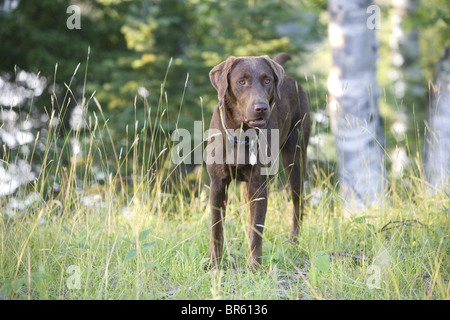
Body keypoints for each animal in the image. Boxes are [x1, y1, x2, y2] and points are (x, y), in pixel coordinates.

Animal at [207, 53, 310, 268]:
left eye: (267, 80)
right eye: (242, 81)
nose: (261, 108)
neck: (241, 133)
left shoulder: (260, 185)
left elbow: (257, 229)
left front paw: (254, 267)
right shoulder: (218, 183)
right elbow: (216, 229)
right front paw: (214, 264)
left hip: (295, 159)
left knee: (298, 204)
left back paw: (294, 242)